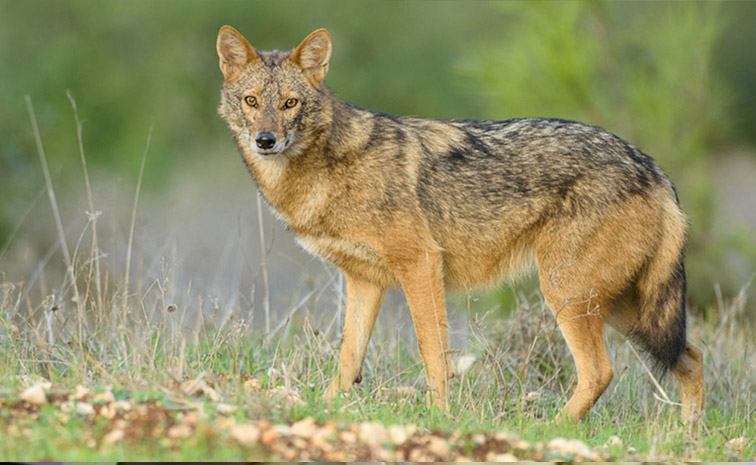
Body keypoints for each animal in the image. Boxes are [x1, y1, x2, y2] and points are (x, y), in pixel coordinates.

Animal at [216, 26, 704, 422]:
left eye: (290, 103)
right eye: (252, 102)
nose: (265, 140)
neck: (325, 171)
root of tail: (653, 169)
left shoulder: (421, 265)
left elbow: (434, 354)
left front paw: (438, 417)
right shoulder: (365, 281)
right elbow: (348, 359)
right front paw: (329, 408)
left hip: (569, 296)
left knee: (601, 372)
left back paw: (550, 429)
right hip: (623, 309)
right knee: (692, 357)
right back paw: (688, 436)